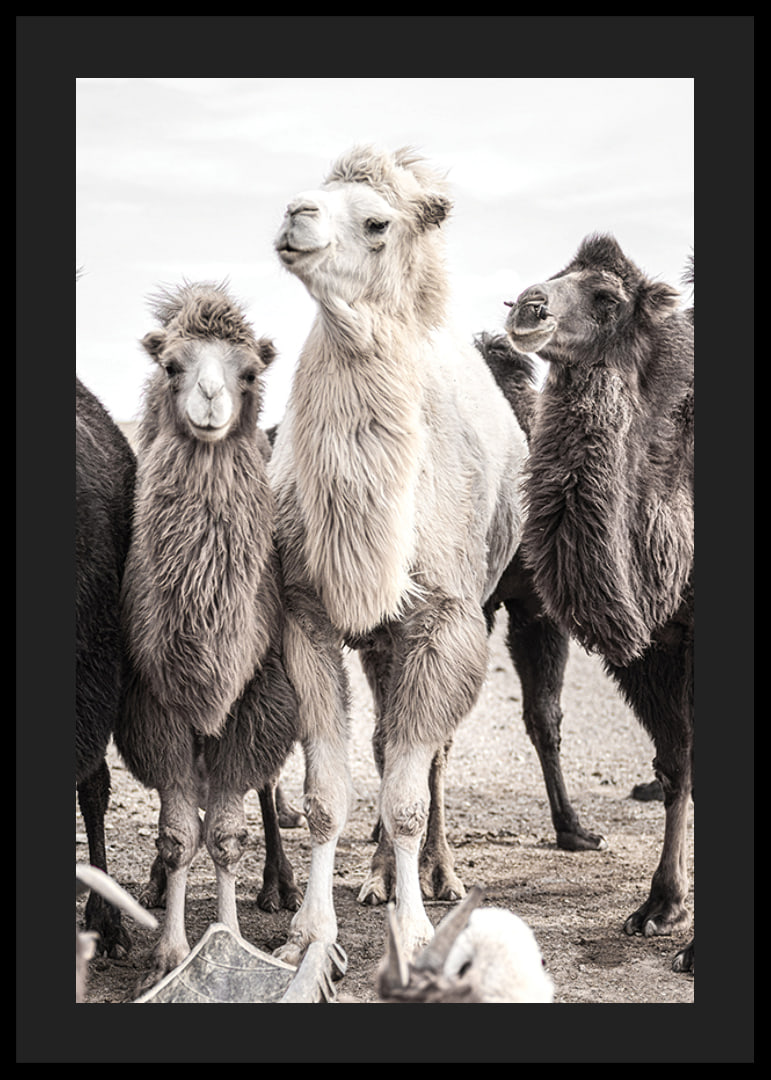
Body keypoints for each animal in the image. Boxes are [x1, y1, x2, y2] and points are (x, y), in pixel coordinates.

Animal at [269, 145, 530, 960]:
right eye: (316, 195)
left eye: (377, 222)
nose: (295, 213)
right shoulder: (306, 615)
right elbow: (326, 795)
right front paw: (309, 935)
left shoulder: (445, 621)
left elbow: (412, 795)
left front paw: (414, 936)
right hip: (382, 640)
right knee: (386, 743)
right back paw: (378, 877)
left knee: (430, 757)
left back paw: (435, 875)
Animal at [503, 233, 694, 972]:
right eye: (559, 274)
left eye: (607, 298)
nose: (527, 307)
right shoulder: (651, 649)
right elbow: (675, 766)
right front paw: (658, 907)